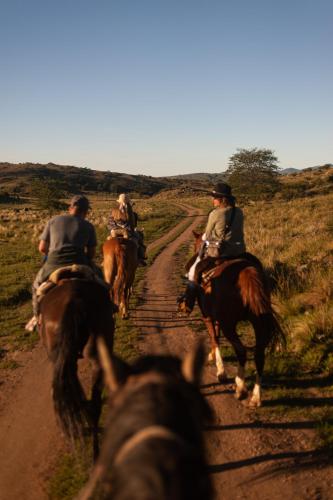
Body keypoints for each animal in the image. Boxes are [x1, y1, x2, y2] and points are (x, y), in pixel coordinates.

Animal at [180, 232, 284, 408]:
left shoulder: (208, 316)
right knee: (259, 354)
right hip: (258, 322)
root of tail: (247, 273)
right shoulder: (216, 317)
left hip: (229, 324)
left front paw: (220, 370)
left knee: (241, 351)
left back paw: (240, 388)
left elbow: (214, 338)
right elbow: (216, 336)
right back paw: (256, 398)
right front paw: (212, 356)